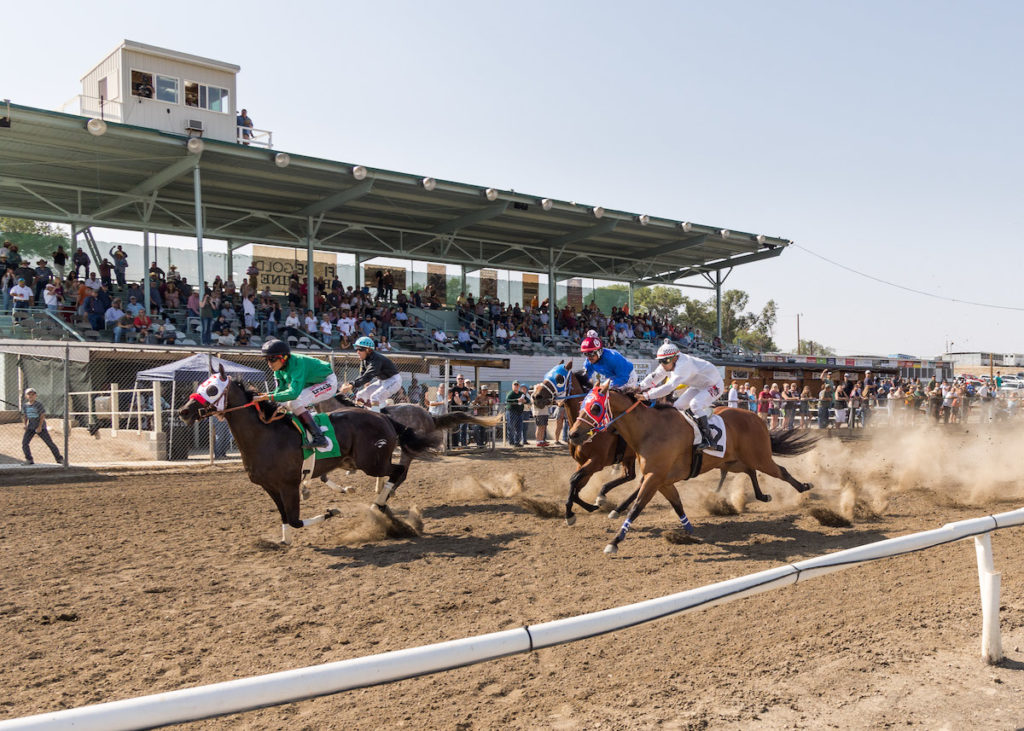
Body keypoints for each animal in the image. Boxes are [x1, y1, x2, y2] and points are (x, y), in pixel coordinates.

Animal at [177, 362, 440, 540]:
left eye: (212, 390)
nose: (184, 411)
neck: (265, 436)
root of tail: (384, 418)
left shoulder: (288, 484)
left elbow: (295, 519)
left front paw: (332, 511)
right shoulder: (269, 486)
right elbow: (286, 517)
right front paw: (283, 541)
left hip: (372, 462)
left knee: (398, 472)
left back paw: (379, 504)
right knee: (397, 473)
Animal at [532, 360, 634, 524]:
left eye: (559, 378)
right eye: (546, 375)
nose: (536, 396)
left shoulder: (597, 461)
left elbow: (573, 480)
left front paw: (569, 514)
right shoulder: (582, 462)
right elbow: (576, 487)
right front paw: (591, 506)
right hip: (629, 457)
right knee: (630, 476)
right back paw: (609, 501)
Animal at [569, 380, 815, 552]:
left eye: (596, 408)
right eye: (582, 405)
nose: (573, 434)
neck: (649, 429)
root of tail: (756, 417)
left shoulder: (654, 477)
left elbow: (637, 506)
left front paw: (614, 541)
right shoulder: (661, 480)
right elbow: (676, 503)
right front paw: (688, 530)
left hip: (760, 456)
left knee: (780, 471)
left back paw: (804, 487)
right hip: (734, 460)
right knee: (750, 471)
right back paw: (762, 495)